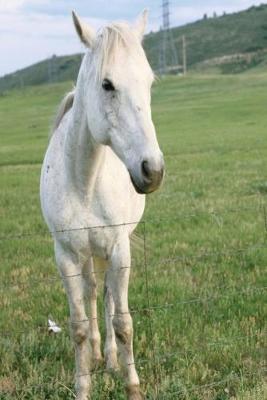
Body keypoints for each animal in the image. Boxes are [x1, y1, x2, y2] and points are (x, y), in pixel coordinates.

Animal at [40, 9, 164, 400]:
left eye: (150, 83)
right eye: (107, 84)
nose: (152, 170)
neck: (84, 181)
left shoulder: (120, 248)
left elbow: (123, 322)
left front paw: (132, 385)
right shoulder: (65, 255)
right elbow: (78, 326)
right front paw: (83, 386)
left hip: (108, 251)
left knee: (108, 297)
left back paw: (109, 358)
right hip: (86, 253)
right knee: (93, 292)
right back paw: (96, 354)